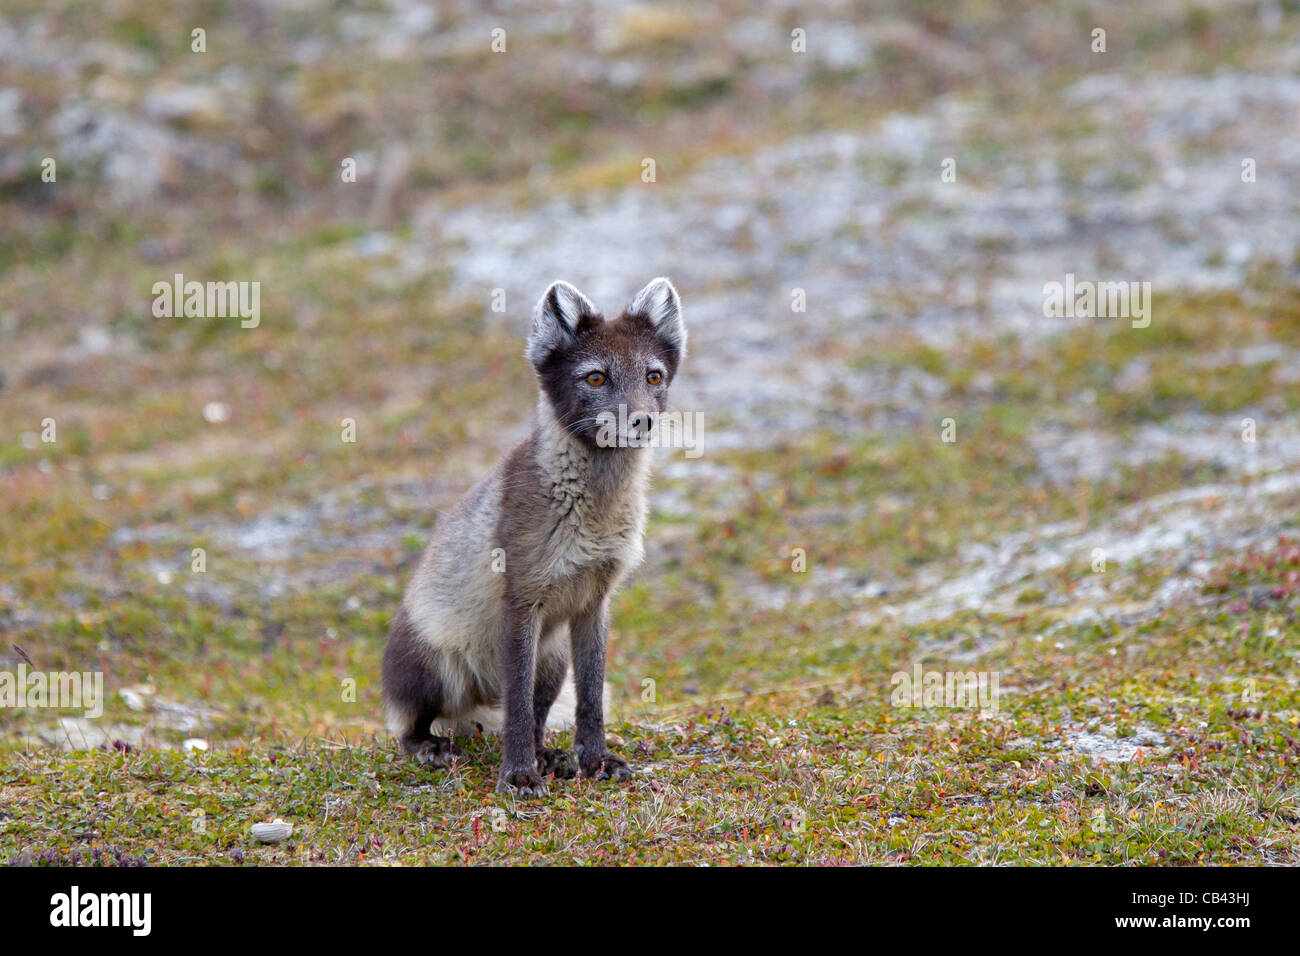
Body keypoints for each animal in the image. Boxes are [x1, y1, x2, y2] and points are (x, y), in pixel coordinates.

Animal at [382, 274, 686, 790]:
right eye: (596, 378)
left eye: (653, 376)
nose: (642, 420)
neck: (594, 514)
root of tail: (475, 706)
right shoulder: (522, 599)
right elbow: (519, 707)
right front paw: (519, 775)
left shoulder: (594, 602)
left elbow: (590, 698)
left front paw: (594, 761)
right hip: (437, 666)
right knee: (411, 723)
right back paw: (432, 747)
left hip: (553, 657)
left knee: (537, 712)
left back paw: (550, 756)